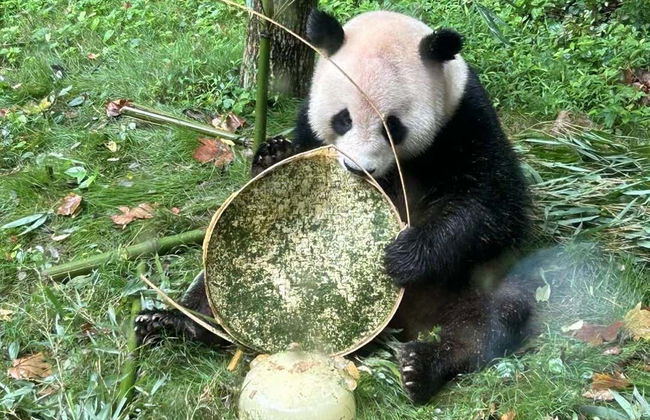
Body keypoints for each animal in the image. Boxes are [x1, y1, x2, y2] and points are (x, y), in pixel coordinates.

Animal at [135, 9, 532, 404]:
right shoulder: (309, 122)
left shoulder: (465, 120)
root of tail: (405, 323)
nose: (359, 169)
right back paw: (175, 323)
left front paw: (404, 256)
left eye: (393, 126)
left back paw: (423, 367)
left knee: (490, 318)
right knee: (208, 289)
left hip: (474, 281)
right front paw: (272, 155)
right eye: (344, 118)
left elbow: (492, 204)